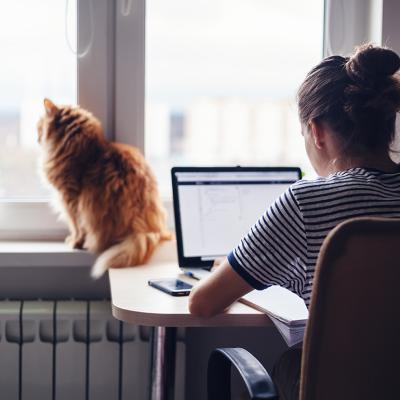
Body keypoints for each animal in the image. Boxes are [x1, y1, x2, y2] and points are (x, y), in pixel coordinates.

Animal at [38, 98, 173, 276]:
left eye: (39, 126)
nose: (37, 137)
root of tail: (145, 228)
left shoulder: (70, 198)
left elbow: (76, 226)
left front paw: (75, 242)